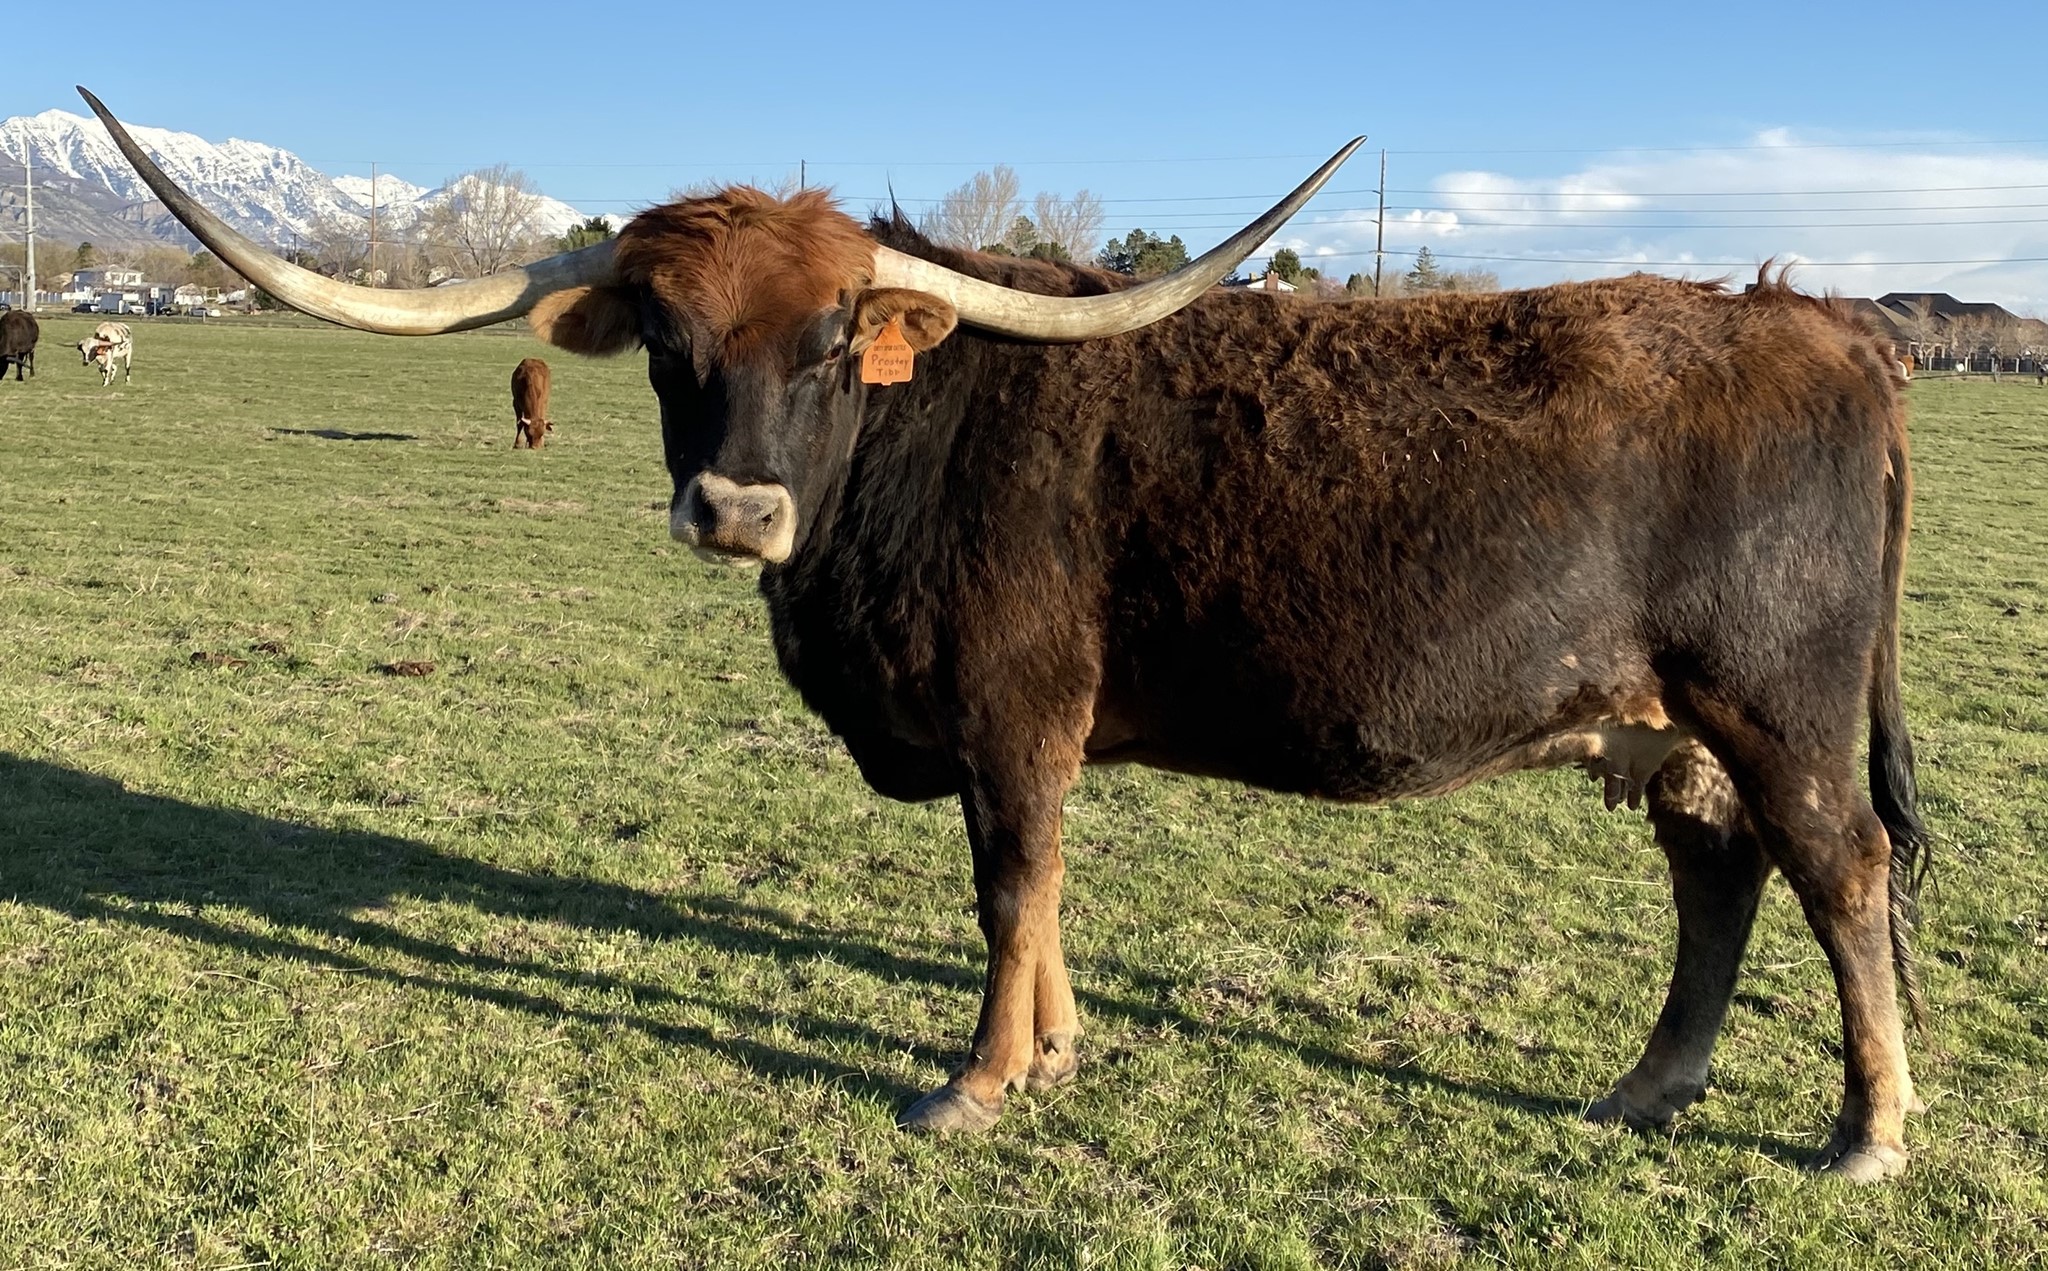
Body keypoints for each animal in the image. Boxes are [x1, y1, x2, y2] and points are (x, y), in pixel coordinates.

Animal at [84, 86, 1930, 1182]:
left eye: (836, 337)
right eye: (670, 345)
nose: (735, 512)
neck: (920, 443)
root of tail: (1826, 329)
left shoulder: (1011, 707)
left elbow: (1008, 885)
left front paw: (978, 1080)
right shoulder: (1025, 725)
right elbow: (1038, 897)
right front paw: (1052, 1052)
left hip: (1775, 703)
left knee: (1839, 872)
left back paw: (1866, 1130)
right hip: (1678, 725)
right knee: (1718, 878)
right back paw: (1649, 1086)